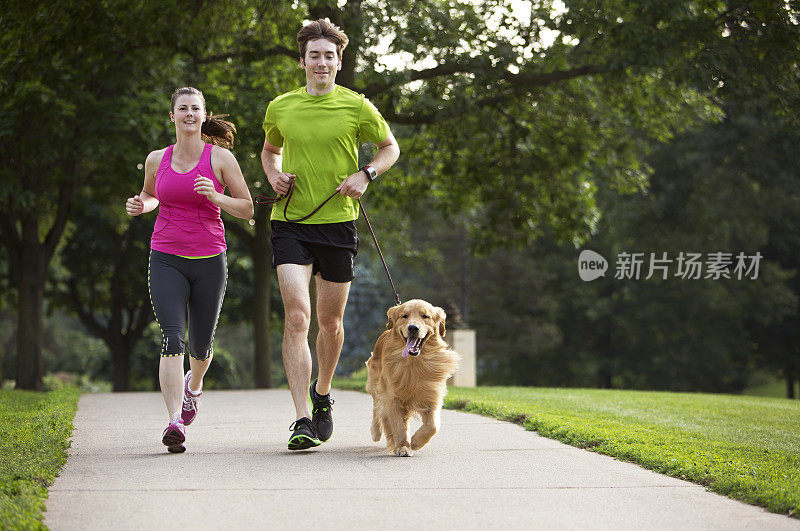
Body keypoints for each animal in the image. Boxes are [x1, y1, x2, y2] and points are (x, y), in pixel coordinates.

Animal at [366, 300, 460, 458]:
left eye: (425, 316)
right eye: (404, 316)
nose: (413, 328)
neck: (415, 363)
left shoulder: (431, 395)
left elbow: (432, 426)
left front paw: (415, 442)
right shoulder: (392, 397)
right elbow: (397, 425)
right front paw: (403, 446)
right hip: (376, 385)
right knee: (376, 408)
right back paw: (376, 432)